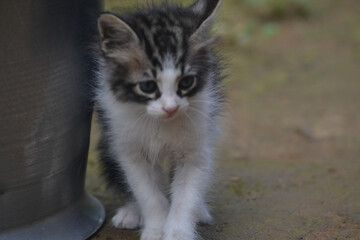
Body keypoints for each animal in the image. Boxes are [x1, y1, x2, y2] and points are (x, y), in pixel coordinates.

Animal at [95, 0, 224, 240]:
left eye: (186, 82)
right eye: (147, 86)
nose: (170, 108)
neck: (162, 123)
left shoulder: (195, 146)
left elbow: (187, 193)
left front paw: (178, 232)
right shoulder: (130, 148)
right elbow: (148, 192)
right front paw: (155, 227)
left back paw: (200, 210)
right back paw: (132, 211)